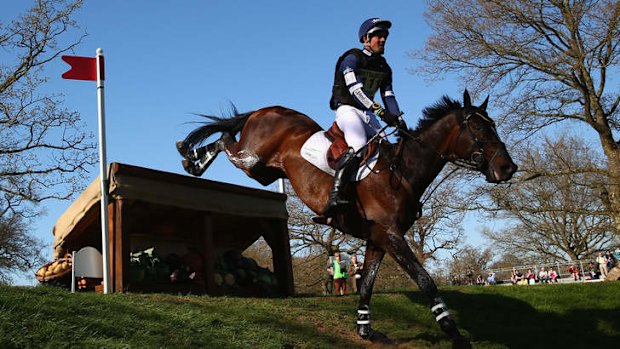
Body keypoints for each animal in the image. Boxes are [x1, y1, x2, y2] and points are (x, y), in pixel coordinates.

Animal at [177, 89, 516, 346]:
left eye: (494, 125)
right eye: (479, 129)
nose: (508, 168)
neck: (402, 171)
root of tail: (266, 110)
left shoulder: (378, 239)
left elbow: (366, 284)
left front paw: (365, 329)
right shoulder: (392, 236)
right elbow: (425, 280)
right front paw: (455, 334)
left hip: (265, 172)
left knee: (228, 138)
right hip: (253, 160)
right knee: (225, 140)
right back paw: (192, 158)